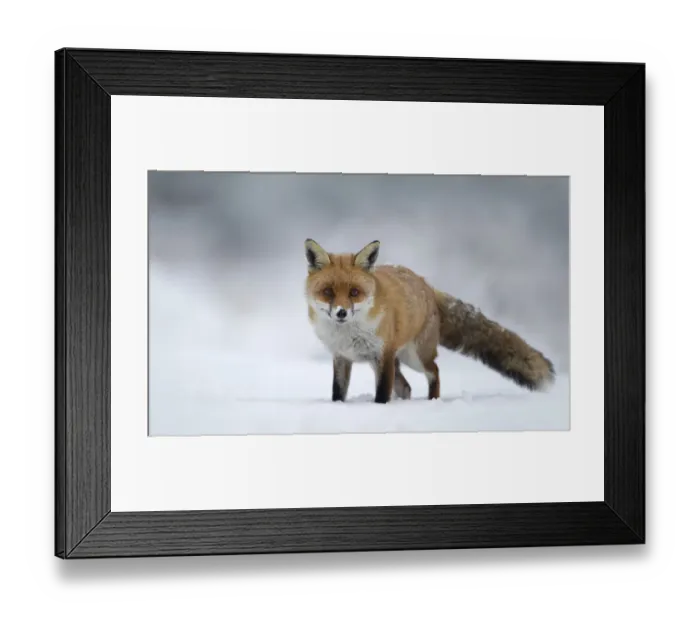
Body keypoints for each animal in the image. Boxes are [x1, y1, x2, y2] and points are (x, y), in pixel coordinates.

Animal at [305, 239, 555, 404]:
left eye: (354, 292)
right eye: (328, 292)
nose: (341, 313)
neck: (347, 334)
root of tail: (426, 285)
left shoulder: (383, 357)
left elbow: (382, 394)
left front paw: (381, 409)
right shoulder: (342, 357)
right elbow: (338, 392)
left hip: (414, 357)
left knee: (434, 371)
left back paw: (432, 400)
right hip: (394, 361)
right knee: (406, 387)